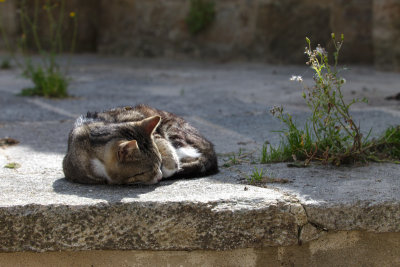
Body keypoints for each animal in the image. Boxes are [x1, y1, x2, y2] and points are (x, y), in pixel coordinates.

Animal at [63, 105, 219, 185]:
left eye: (160, 163)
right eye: (142, 172)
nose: (159, 177)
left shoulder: (150, 130)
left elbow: (163, 145)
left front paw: (169, 167)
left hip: (175, 131)